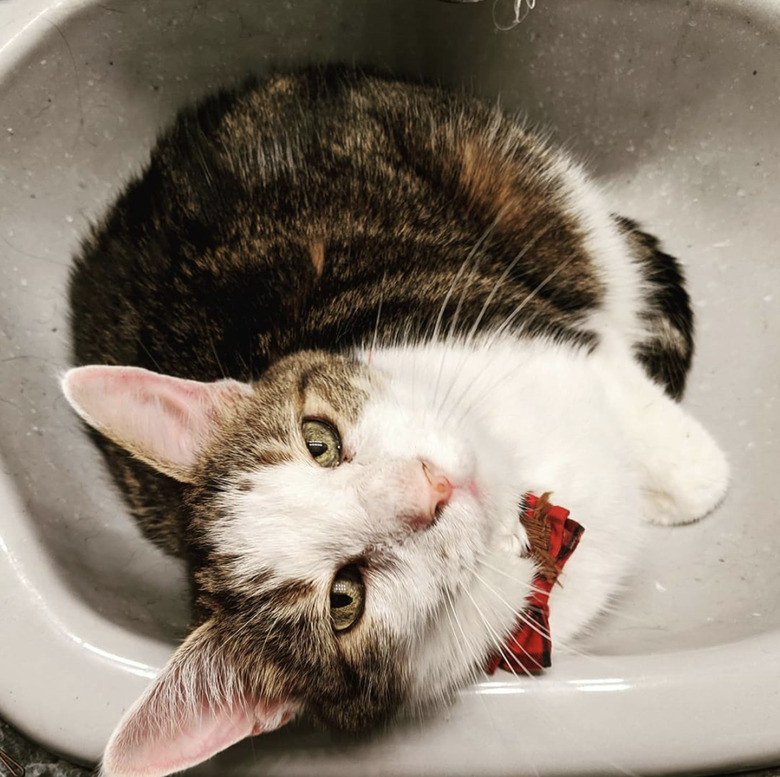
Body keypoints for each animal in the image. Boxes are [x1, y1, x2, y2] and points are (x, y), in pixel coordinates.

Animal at [58, 65, 728, 776]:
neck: (524, 502)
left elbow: (627, 397)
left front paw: (682, 473)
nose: (430, 488)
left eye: (318, 441)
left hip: (512, 175)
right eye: (344, 600)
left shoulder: (523, 327)